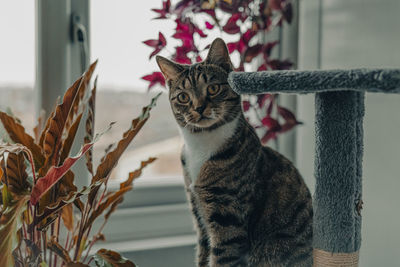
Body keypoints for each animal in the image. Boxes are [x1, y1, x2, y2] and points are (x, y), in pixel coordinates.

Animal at [156, 38, 312, 267]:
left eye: (212, 88)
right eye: (183, 97)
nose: (199, 108)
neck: (202, 143)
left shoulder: (228, 217)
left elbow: (222, 256)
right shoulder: (199, 216)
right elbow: (203, 254)